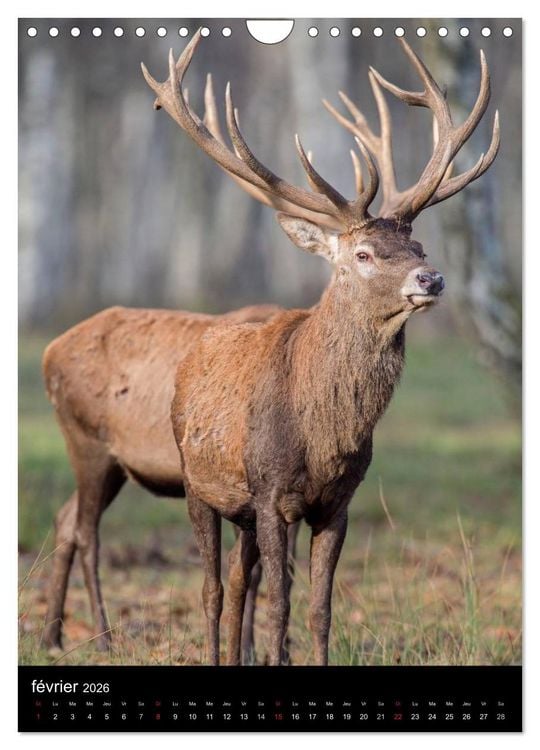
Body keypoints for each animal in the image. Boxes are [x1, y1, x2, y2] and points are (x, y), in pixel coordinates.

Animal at [142, 31, 499, 665]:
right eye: (363, 254)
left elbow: (319, 608)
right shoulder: (270, 492)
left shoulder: (339, 502)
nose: (431, 279)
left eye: (420, 246)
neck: (324, 436)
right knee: (213, 587)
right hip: (196, 481)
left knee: (239, 581)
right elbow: (281, 603)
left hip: (240, 509)